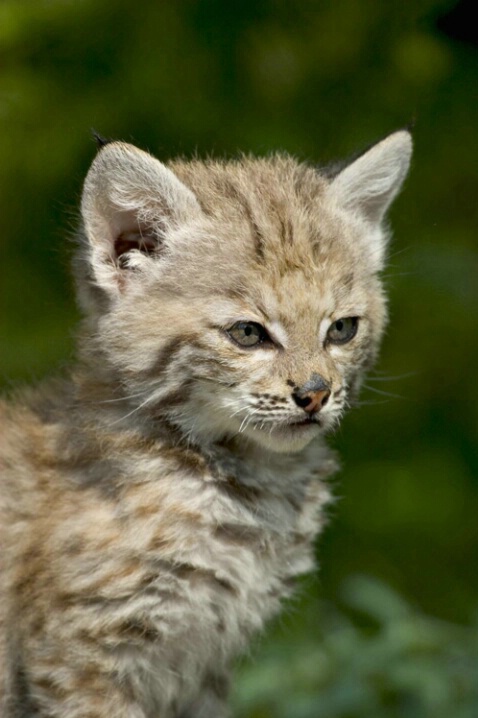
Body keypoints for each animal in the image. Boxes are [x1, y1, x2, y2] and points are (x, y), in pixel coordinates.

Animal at [0, 132, 410, 716]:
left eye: (342, 330)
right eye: (248, 333)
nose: (315, 394)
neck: (244, 479)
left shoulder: (204, 668)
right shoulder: (82, 658)